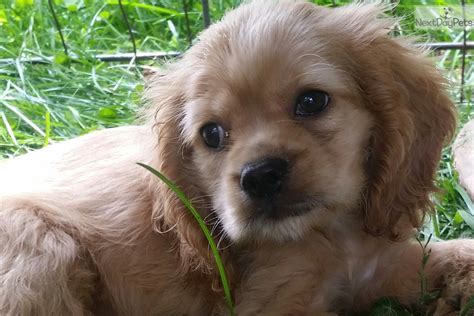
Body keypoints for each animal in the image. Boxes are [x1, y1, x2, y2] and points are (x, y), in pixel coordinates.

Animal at [0, 1, 474, 314]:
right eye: (211, 134)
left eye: (312, 101)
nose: (259, 176)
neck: (333, 237)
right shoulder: (276, 301)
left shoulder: (385, 265)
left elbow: (449, 254)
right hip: (37, 246)